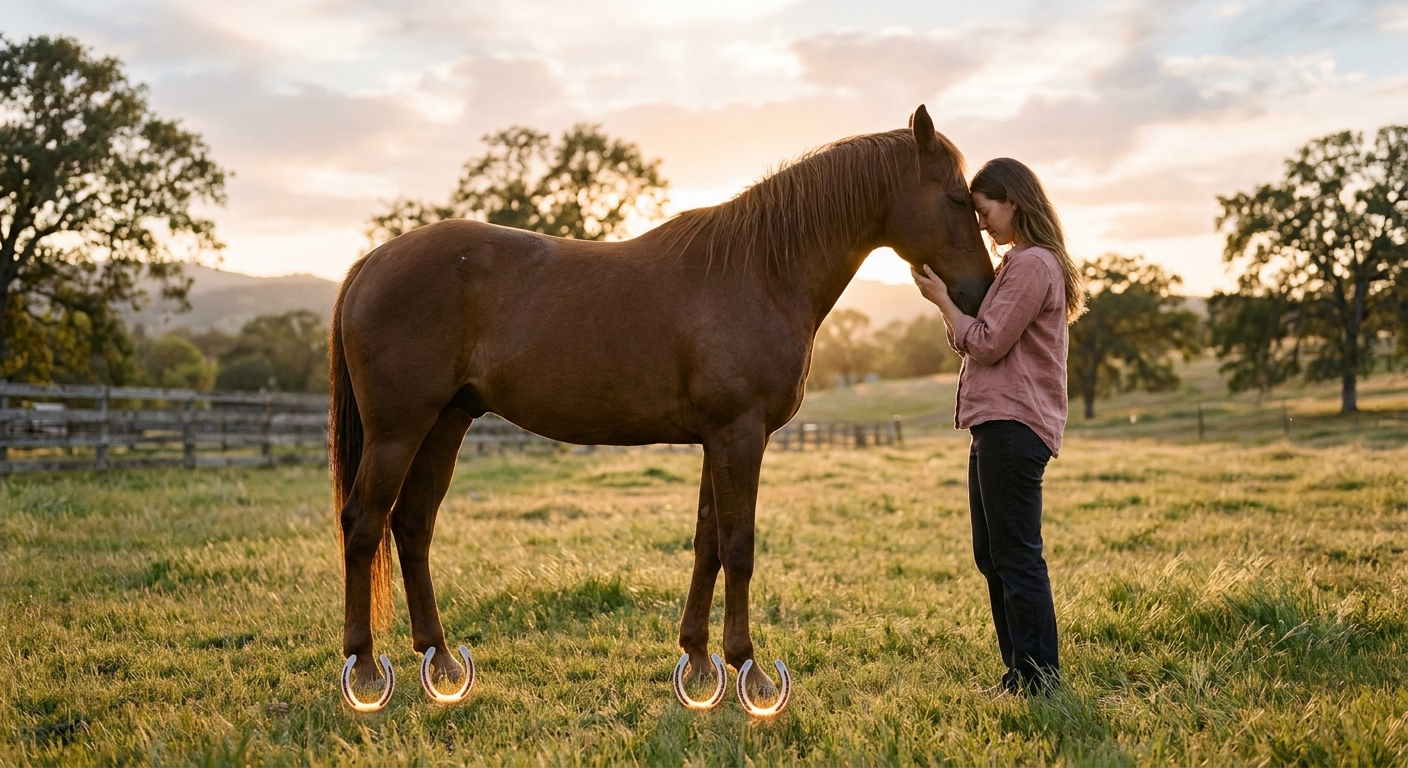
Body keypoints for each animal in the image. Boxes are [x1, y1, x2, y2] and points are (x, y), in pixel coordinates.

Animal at [331, 104, 994, 715]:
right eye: (957, 198)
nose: (981, 292)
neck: (763, 270)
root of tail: (372, 262)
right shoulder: (740, 435)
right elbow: (739, 546)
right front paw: (750, 672)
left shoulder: (718, 439)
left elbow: (708, 543)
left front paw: (698, 662)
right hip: (398, 431)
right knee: (363, 524)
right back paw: (364, 669)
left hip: (445, 423)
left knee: (411, 526)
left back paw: (439, 660)